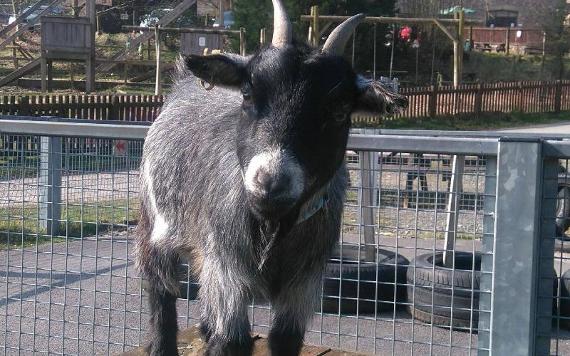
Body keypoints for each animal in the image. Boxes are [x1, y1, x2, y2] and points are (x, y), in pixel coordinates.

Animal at [135, 1, 406, 354]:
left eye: (340, 110)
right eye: (248, 93)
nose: (270, 183)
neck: (273, 227)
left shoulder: (302, 285)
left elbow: (285, 339)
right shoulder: (229, 271)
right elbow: (231, 341)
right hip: (155, 221)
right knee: (160, 287)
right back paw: (160, 343)